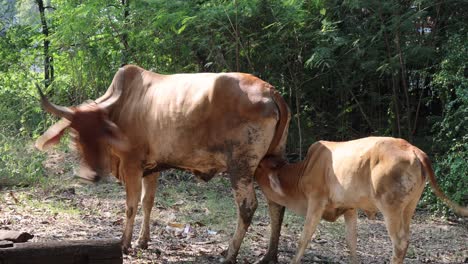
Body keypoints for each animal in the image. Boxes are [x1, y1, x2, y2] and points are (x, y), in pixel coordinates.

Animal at [35, 64, 288, 264]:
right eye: (76, 135)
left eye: (103, 133)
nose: (92, 175)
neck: (121, 108)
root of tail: (270, 91)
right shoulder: (151, 169)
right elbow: (148, 202)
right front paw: (142, 241)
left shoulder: (132, 165)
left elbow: (131, 205)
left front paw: (124, 243)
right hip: (267, 164)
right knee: (276, 204)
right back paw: (269, 255)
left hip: (241, 167)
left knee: (248, 207)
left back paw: (230, 254)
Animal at [256, 137, 468, 264]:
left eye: (259, 167)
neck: (304, 171)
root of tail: (414, 150)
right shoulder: (350, 208)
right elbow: (352, 242)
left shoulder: (316, 201)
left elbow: (304, 237)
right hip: (409, 206)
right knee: (407, 238)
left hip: (390, 207)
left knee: (399, 242)